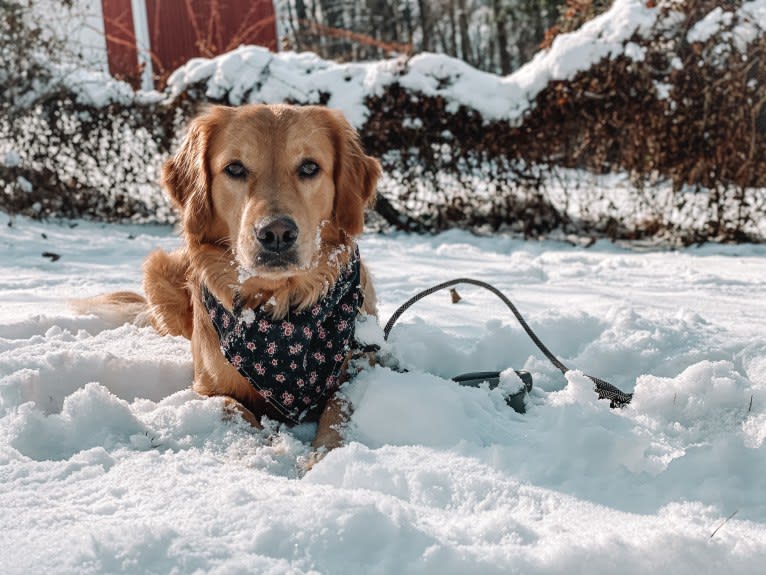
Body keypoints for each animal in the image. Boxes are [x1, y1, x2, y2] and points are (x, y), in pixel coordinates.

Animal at [76, 103, 382, 454]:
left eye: (309, 167)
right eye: (235, 169)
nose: (276, 234)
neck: (278, 307)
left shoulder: (361, 372)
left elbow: (338, 409)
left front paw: (323, 455)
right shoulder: (208, 387)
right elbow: (233, 407)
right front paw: (269, 448)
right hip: (159, 270)